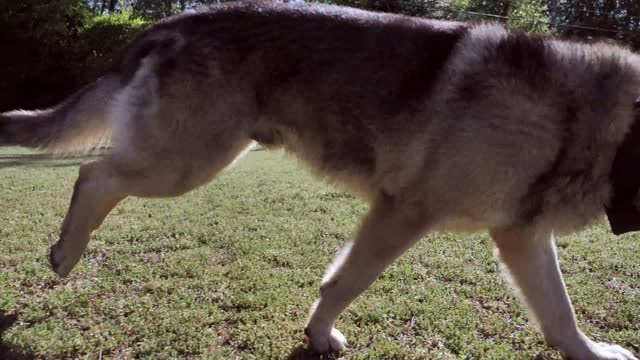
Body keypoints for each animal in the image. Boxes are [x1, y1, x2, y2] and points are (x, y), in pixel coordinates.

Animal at [1, 2, 640, 358]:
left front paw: (590, 352)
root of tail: (174, 20)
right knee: (95, 174)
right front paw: (318, 336)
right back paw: (66, 252)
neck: (604, 123)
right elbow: (346, 283)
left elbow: (560, 314)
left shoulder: (522, 236)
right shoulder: (403, 213)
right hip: (185, 163)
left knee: (98, 173)